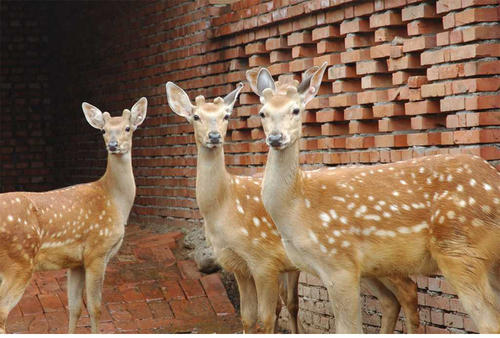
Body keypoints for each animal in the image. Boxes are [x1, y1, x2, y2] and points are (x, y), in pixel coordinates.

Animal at [0, 97, 147, 332]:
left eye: (128, 128)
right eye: (103, 130)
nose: (113, 145)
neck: (114, 200)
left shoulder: (76, 262)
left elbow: (74, 308)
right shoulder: (97, 251)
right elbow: (96, 308)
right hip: (18, 261)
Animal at [165, 81, 422, 332]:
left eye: (226, 115)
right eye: (196, 116)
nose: (215, 136)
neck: (225, 207)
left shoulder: (263, 260)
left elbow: (267, 317)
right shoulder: (238, 266)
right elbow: (248, 318)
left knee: (408, 290)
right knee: (390, 300)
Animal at [247, 62, 500, 332]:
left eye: (296, 109)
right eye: (262, 113)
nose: (276, 138)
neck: (298, 207)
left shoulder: (340, 261)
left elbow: (348, 329)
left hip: (460, 248)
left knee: (488, 323)